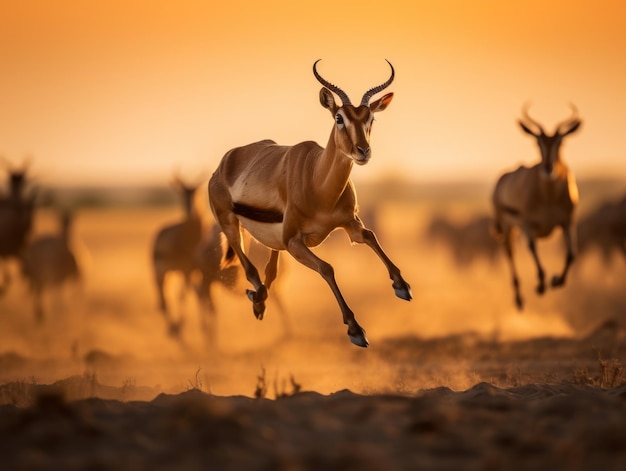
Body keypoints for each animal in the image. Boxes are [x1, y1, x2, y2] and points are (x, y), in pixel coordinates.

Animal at [150, 176, 201, 336]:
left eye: (196, 192)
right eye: (181, 194)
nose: (191, 212)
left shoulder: (191, 271)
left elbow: (184, 294)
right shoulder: (185, 270)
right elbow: (180, 295)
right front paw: (178, 326)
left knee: (165, 298)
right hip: (160, 272)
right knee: (162, 298)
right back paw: (171, 326)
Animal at [207, 60, 412, 346]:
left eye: (370, 118)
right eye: (339, 118)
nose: (363, 151)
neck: (318, 182)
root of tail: (225, 162)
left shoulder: (350, 223)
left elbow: (370, 236)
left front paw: (402, 287)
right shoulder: (295, 242)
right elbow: (327, 268)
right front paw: (356, 330)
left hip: (274, 240)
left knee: (270, 270)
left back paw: (259, 300)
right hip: (231, 225)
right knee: (249, 268)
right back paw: (256, 300)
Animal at [492, 104, 580, 310]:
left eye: (560, 143)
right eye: (537, 143)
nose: (548, 168)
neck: (548, 197)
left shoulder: (567, 222)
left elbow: (571, 254)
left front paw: (556, 280)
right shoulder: (527, 224)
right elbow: (532, 247)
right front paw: (541, 286)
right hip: (508, 228)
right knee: (510, 253)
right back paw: (519, 299)